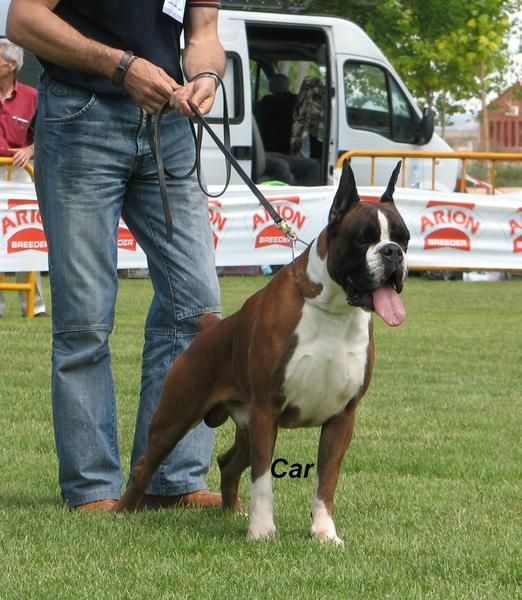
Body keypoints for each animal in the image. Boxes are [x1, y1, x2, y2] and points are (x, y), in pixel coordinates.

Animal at [116, 159, 408, 544]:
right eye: (364, 238)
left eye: (404, 238)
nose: (393, 253)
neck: (332, 309)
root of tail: (210, 328)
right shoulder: (267, 410)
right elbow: (263, 480)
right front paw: (262, 530)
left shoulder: (342, 417)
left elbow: (326, 480)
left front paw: (324, 532)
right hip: (176, 417)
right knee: (145, 465)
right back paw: (121, 513)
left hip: (244, 423)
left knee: (228, 463)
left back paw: (231, 511)